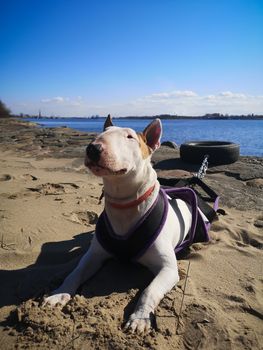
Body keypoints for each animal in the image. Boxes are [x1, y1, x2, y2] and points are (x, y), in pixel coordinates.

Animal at [43, 117, 200, 334]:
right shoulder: (94, 255)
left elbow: (149, 290)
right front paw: (59, 294)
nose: (93, 148)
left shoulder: (168, 268)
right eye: (101, 133)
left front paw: (140, 318)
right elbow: (75, 272)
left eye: (130, 137)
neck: (124, 204)